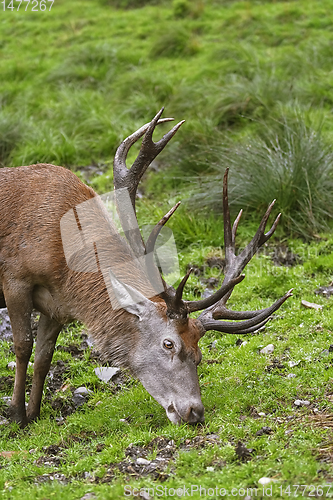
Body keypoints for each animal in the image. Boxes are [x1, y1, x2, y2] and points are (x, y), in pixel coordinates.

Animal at [0, 108, 290, 426]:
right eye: (169, 344)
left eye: (199, 354)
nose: (195, 411)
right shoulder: (15, 278)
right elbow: (22, 344)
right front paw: (16, 415)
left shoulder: (57, 306)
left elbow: (44, 356)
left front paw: (34, 413)